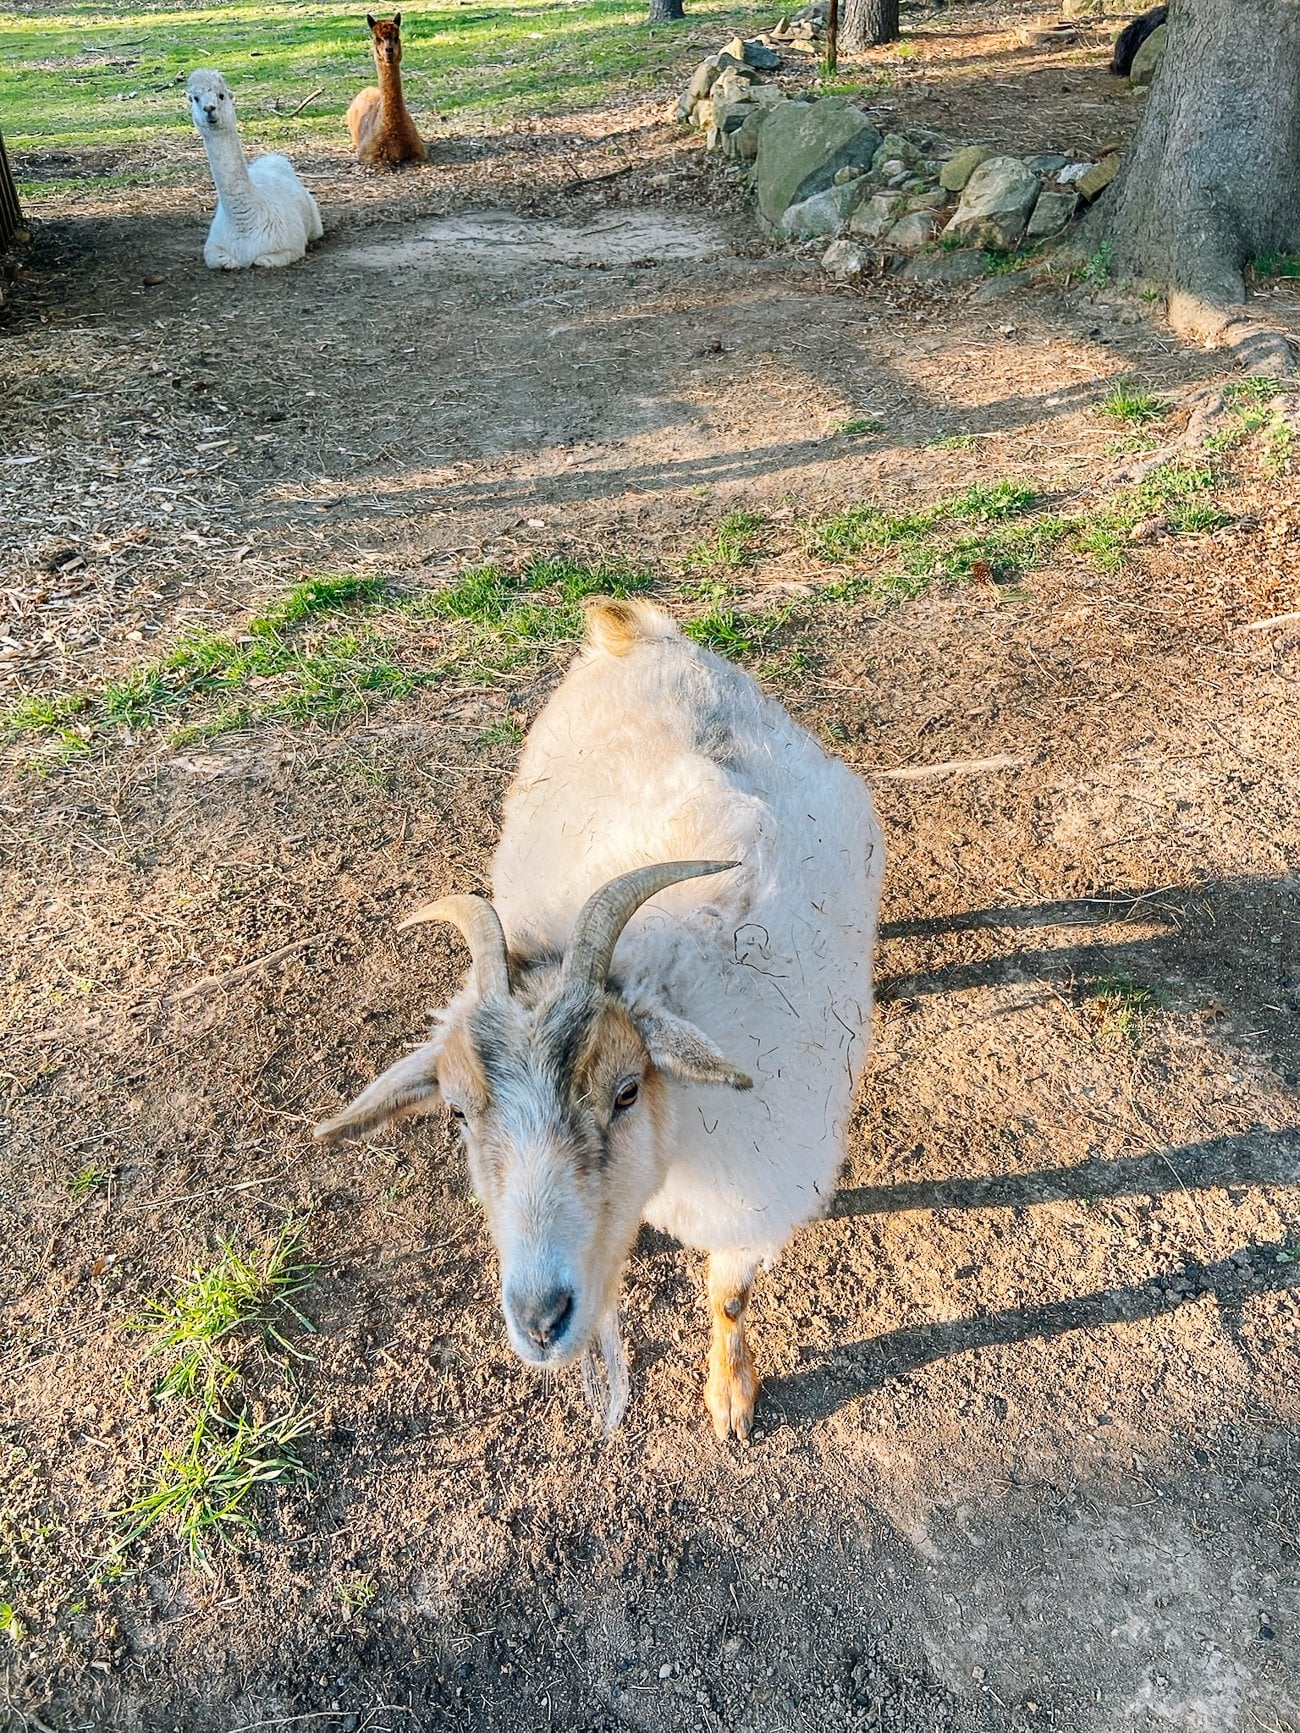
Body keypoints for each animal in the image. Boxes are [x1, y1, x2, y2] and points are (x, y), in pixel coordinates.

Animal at [187, 69, 322, 269]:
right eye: (195, 98)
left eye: (221, 95)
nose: (209, 109)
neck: (244, 221)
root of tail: (271, 161)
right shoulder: (213, 249)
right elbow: (223, 261)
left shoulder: (288, 249)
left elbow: (262, 260)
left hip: (315, 223)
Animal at [315, 598, 884, 1439]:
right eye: (457, 1112)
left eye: (625, 1091)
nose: (541, 1318)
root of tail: (632, 631)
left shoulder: (758, 1200)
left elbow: (729, 1297)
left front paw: (731, 1398)